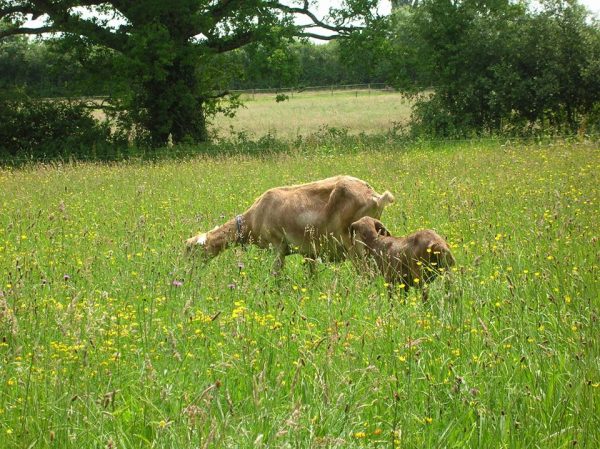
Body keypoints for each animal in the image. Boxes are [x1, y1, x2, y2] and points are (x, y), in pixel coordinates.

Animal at [186, 175, 394, 272]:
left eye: (191, 249)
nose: (187, 271)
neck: (253, 218)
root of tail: (376, 197)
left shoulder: (277, 244)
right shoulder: (310, 252)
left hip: (354, 244)